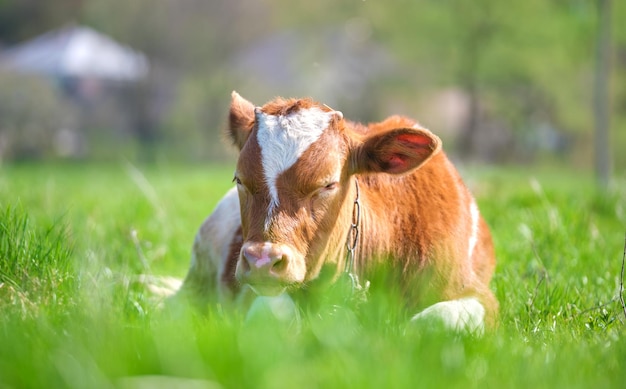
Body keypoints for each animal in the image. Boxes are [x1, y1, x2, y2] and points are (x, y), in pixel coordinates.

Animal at [179, 91, 498, 330]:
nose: (261, 261)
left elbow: (430, 322)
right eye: (240, 180)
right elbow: (278, 315)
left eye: (328, 184)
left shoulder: (479, 296)